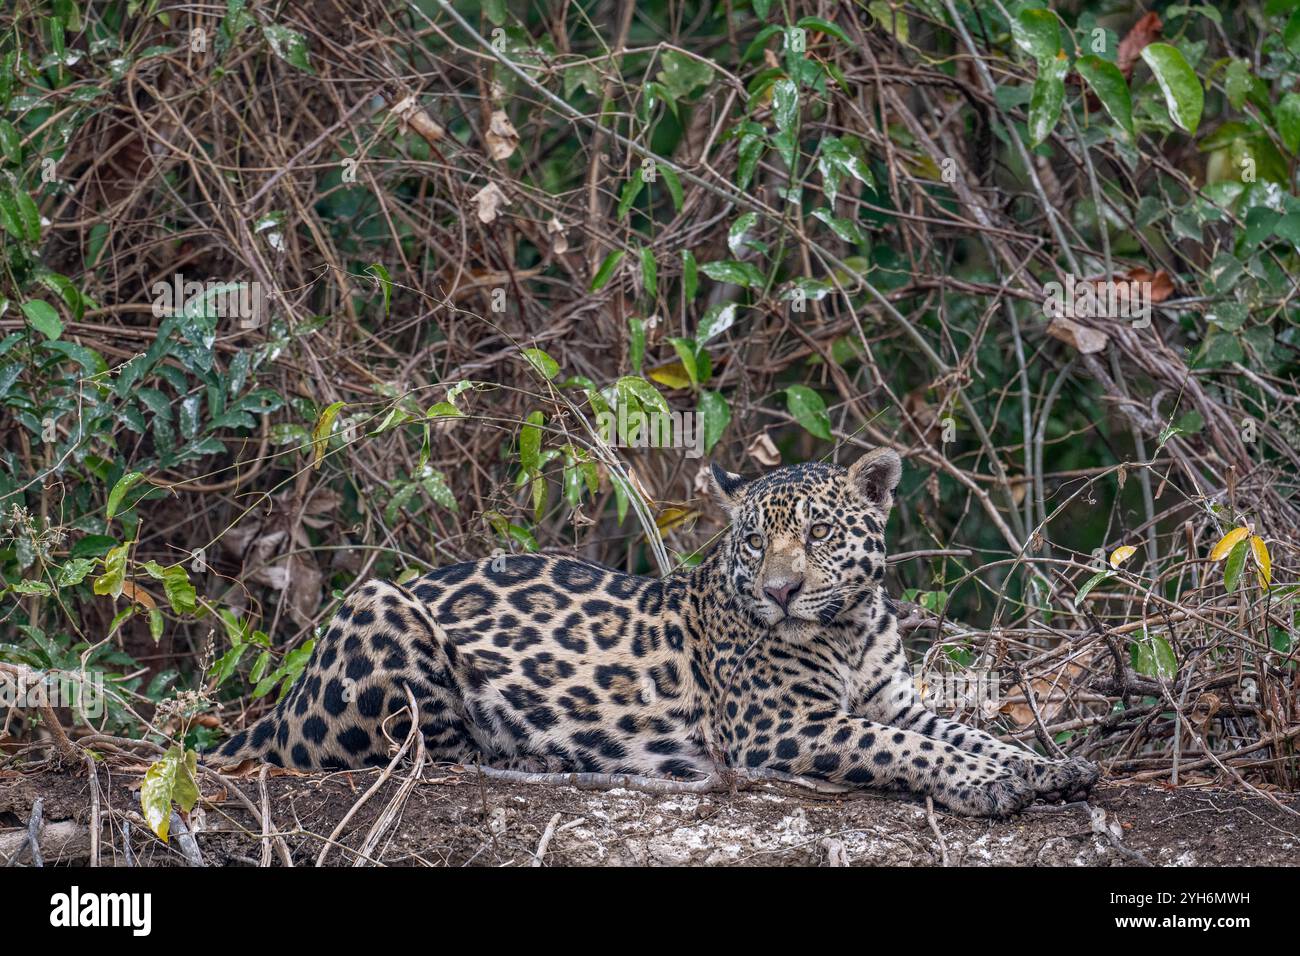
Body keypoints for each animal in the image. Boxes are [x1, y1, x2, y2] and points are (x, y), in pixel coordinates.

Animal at [208, 448, 1098, 817]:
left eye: (817, 534)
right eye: (754, 542)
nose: (779, 592)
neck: (845, 628)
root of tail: (278, 706)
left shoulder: (896, 702)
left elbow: (967, 732)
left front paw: (1050, 769)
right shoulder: (785, 727)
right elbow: (910, 751)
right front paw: (985, 787)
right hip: (380, 604)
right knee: (424, 748)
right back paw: (539, 753)